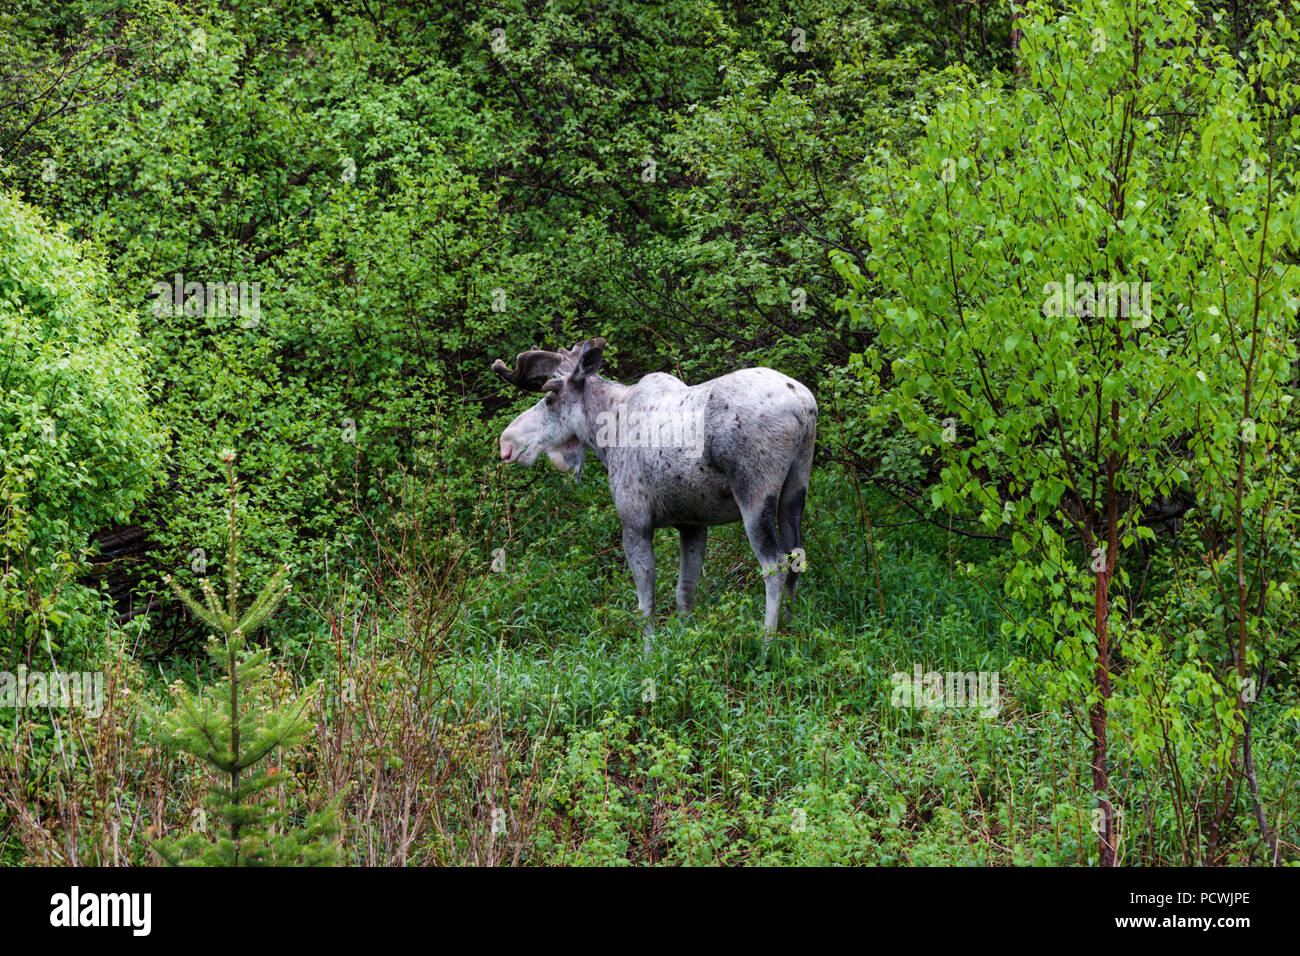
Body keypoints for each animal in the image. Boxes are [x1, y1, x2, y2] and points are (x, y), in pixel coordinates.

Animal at [493, 337, 816, 653]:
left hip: (755, 494)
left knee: (775, 564)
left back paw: (767, 645)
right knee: (796, 557)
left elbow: (645, 602)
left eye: (549, 399)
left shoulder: (635, 522)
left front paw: (648, 654)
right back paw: (792, 627)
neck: (605, 436)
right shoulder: (692, 524)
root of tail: (804, 407)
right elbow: (685, 592)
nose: (506, 442)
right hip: (795, 489)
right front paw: (684, 642)